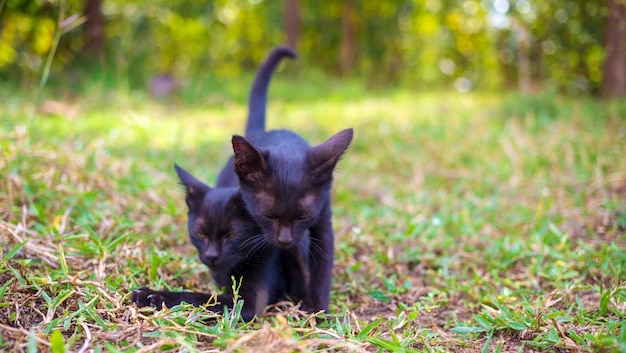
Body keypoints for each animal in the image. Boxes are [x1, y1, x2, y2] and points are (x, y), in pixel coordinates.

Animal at [130, 47, 298, 322]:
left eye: (232, 235)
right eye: (199, 234)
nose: (211, 256)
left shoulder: (250, 302)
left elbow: (202, 298)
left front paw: (155, 295)